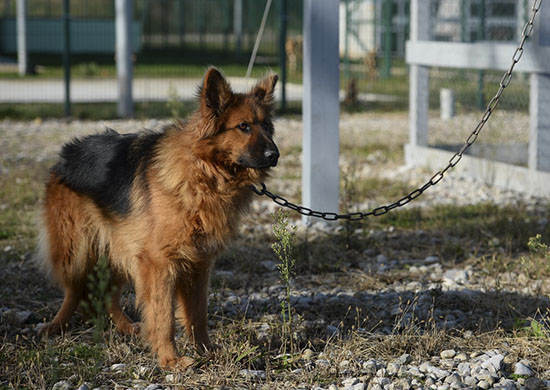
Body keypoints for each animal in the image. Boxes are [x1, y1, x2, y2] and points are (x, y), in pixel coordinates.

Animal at [36, 68, 280, 368]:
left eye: (267, 126)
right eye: (243, 126)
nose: (274, 155)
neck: (204, 172)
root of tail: (66, 154)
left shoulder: (198, 264)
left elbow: (198, 314)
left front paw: (206, 351)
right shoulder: (159, 263)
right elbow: (163, 315)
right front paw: (170, 360)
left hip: (119, 249)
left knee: (108, 296)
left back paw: (127, 327)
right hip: (77, 250)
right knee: (74, 290)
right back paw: (56, 326)